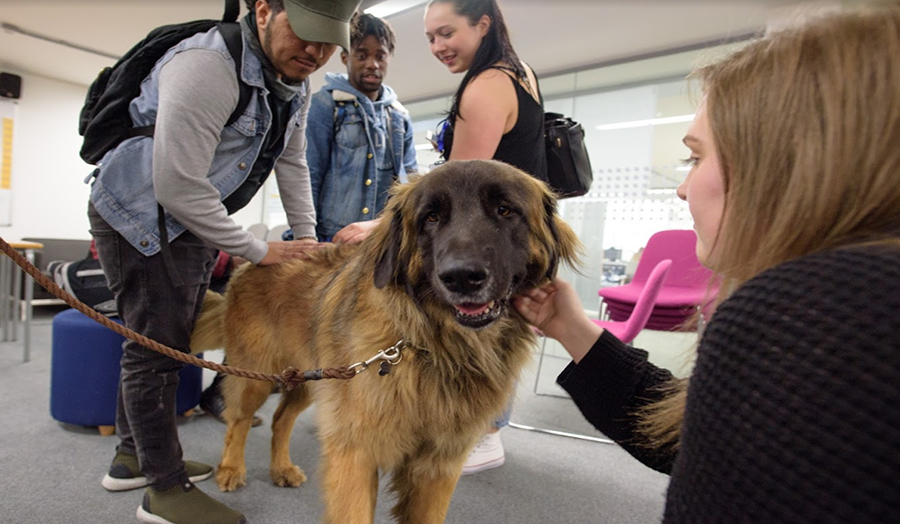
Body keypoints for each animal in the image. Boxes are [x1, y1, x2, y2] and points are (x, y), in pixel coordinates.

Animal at [190, 159, 580, 523]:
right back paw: (231, 468)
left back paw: (281, 468)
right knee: (238, 421)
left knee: (281, 418)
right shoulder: (355, 454)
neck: (437, 349)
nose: (461, 277)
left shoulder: (438, 466)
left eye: (505, 210)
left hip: (310, 378)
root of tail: (257, 259)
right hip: (256, 375)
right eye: (431, 217)